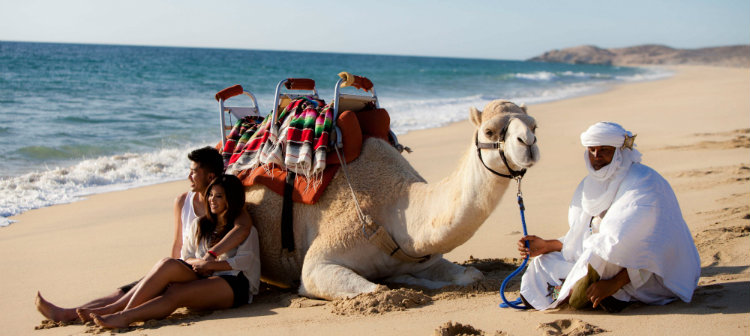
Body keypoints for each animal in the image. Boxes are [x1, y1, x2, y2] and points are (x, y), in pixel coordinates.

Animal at [247, 100, 540, 300]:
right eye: (489, 131)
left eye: (534, 125)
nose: (528, 142)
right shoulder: (319, 264)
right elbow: (373, 288)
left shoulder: (425, 258)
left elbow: (472, 275)